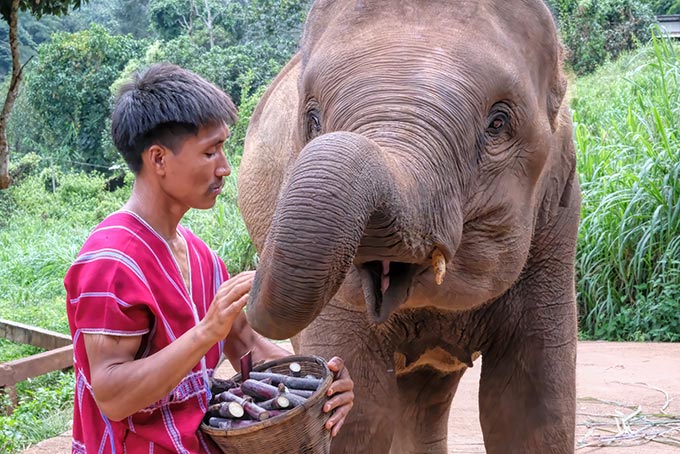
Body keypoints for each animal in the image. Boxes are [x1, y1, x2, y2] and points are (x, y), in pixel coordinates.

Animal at [238, 1, 580, 452]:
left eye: (498, 123)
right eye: (312, 118)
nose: (244, 284)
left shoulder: (556, 228)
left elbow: (533, 406)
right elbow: (364, 412)